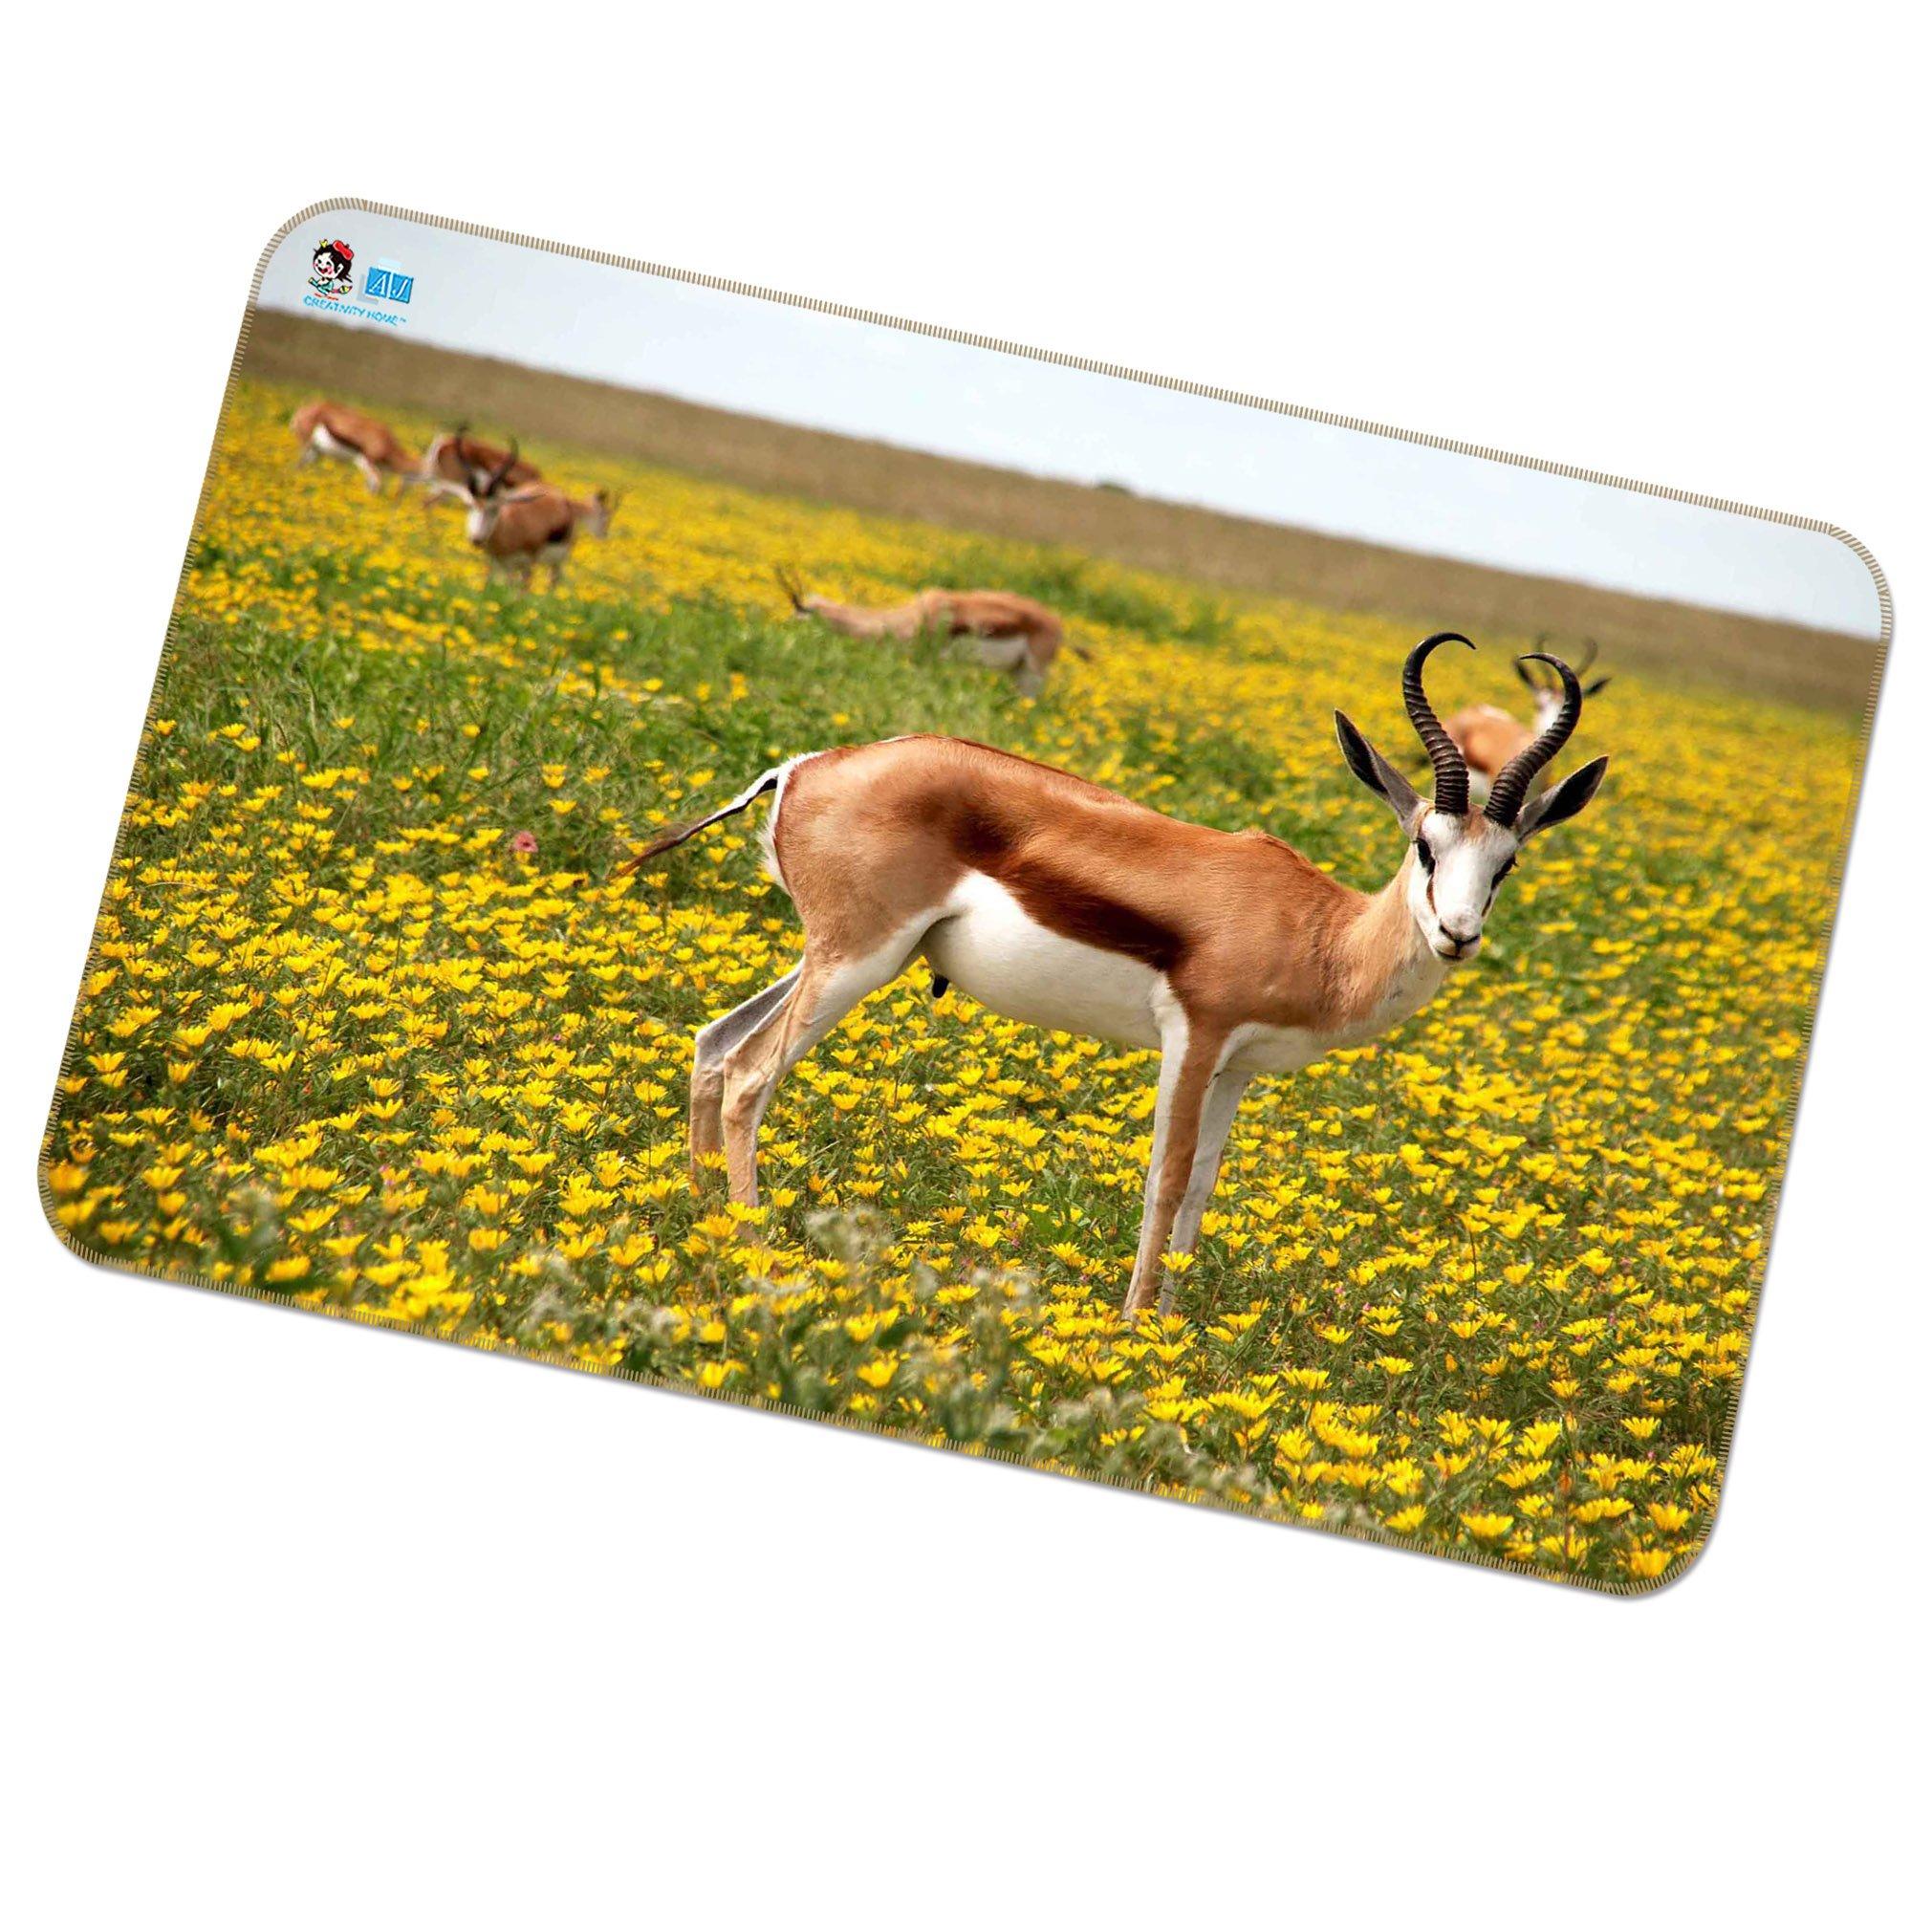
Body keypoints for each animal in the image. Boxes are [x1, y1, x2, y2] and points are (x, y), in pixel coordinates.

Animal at [290, 400, 417, 494]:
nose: (400, 493)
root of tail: (300, 411)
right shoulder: (363, 460)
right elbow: (376, 482)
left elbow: (372, 483)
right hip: (307, 446)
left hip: (316, 452)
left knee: (301, 466)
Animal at [776, 568, 1072, 696]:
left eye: (798, 612)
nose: (779, 630)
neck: (913, 616)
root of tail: (1057, 625)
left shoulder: (926, 660)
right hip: (1017, 672)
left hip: (1033, 674)